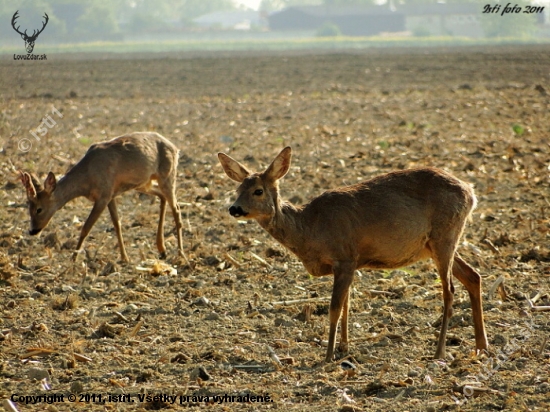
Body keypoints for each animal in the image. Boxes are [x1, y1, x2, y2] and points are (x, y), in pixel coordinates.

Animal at [19, 130, 185, 262]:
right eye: (28, 207)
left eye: (39, 209)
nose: (32, 231)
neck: (88, 177)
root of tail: (175, 148)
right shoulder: (110, 195)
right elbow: (117, 224)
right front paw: (124, 258)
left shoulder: (103, 196)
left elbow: (86, 227)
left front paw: (73, 259)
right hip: (145, 183)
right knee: (162, 197)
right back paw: (162, 249)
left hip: (167, 175)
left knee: (176, 208)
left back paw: (181, 254)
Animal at [218, 146, 490, 362]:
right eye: (237, 188)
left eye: (258, 190)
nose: (234, 209)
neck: (309, 229)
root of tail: (471, 192)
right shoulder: (351, 262)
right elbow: (348, 305)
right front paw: (344, 348)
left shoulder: (345, 258)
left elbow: (335, 308)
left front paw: (328, 355)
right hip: (437, 244)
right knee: (473, 276)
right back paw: (481, 346)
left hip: (444, 236)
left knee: (449, 290)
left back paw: (439, 352)